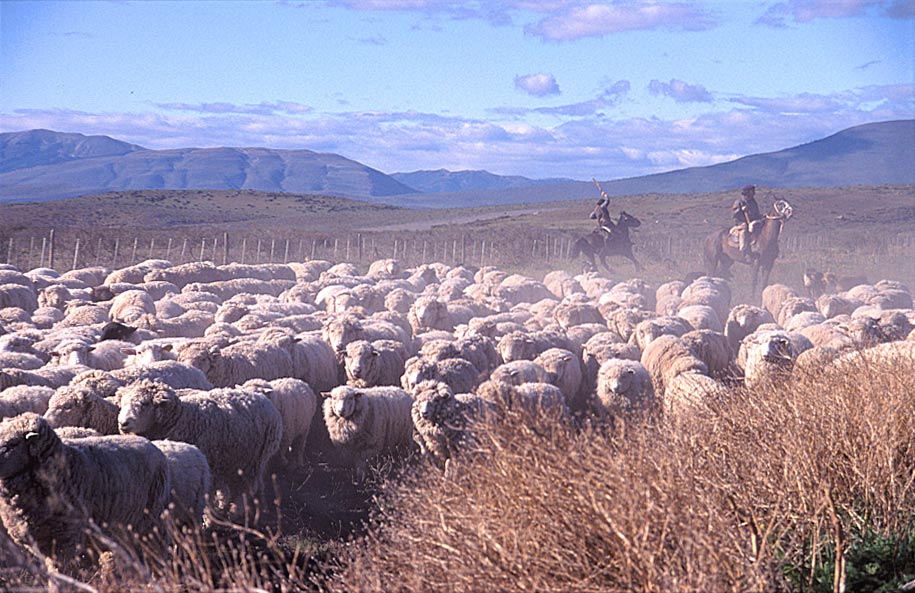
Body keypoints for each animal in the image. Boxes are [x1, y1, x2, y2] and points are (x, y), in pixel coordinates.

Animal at [118, 380, 282, 512]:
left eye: (145, 404)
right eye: (123, 403)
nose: (123, 423)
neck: (181, 417)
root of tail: (261, 397)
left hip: (253, 463)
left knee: (246, 489)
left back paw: (235, 511)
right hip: (233, 463)